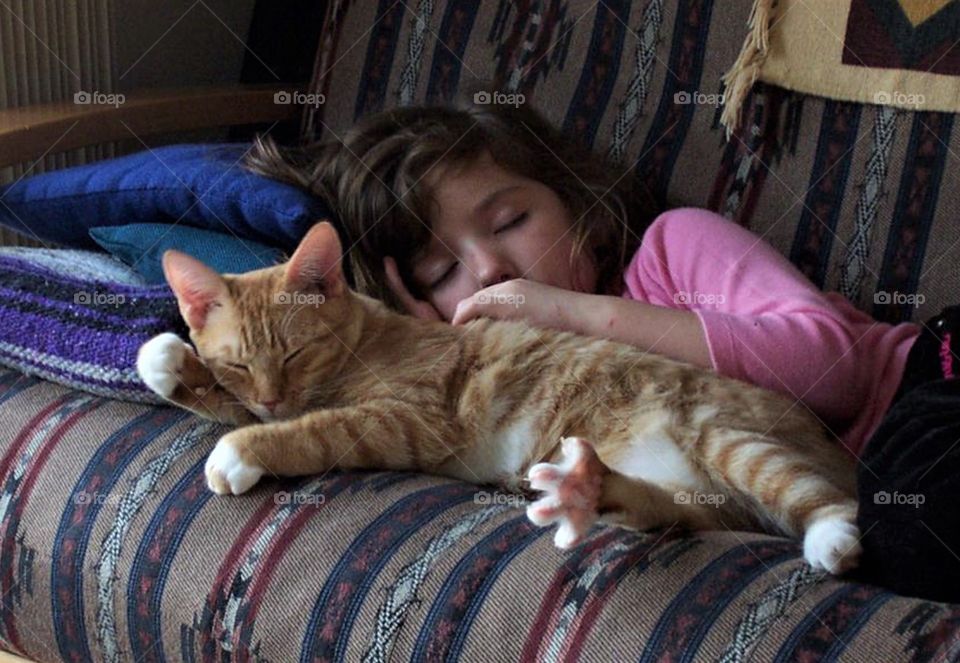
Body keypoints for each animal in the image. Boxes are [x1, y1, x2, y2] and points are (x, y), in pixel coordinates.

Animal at [139, 220, 868, 572]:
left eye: (294, 353)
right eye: (239, 364)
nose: (269, 399)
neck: (366, 336)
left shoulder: (408, 419)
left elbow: (316, 428)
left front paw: (243, 448)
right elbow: (218, 395)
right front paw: (168, 361)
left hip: (724, 437)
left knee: (827, 500)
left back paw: (833, 538)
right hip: (677, 490)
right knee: (661, 506)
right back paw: (585, 487)